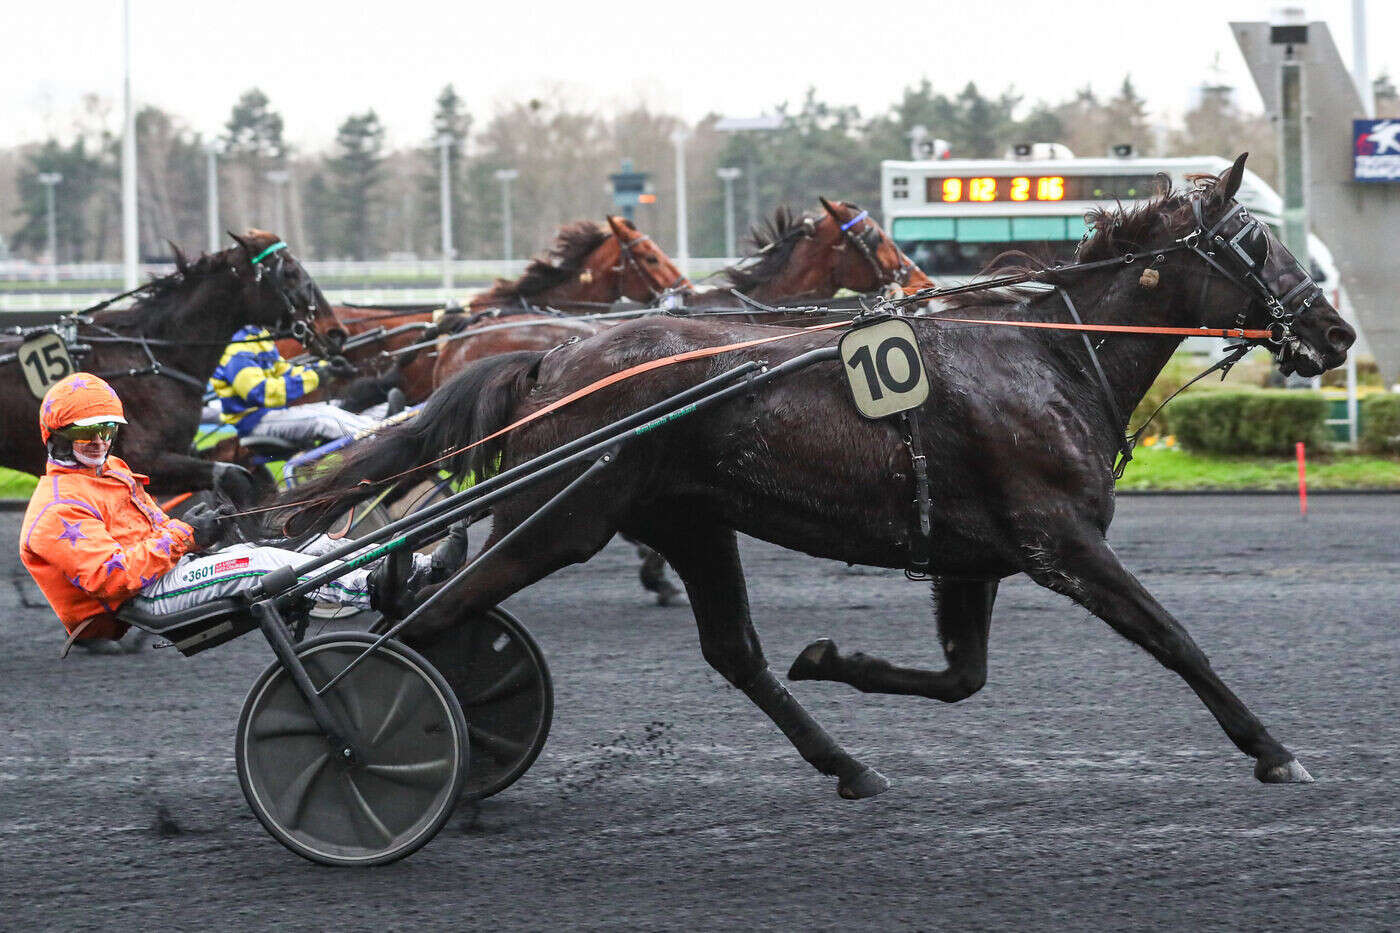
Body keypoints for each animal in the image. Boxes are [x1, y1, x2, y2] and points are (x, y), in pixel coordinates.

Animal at [0, 231, 336, 504]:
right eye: (290, 271)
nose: (335, 331)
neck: (154, 355)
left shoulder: (181, 449)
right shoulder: (145, 460)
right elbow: (232, 475)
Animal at [281, 156, 1355, 795]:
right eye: (1256, 243)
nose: (1339, 332)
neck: (1050, 355)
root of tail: (554, 357)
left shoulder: (973, 554)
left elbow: (961, 677)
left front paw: (834, 658)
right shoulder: (1058, 538)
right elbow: (1173, 637)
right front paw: (1274, 749)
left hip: (686, 518)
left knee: (731, 652)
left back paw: (846, 765)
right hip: (565, 516)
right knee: (424, 614)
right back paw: (361, 738)